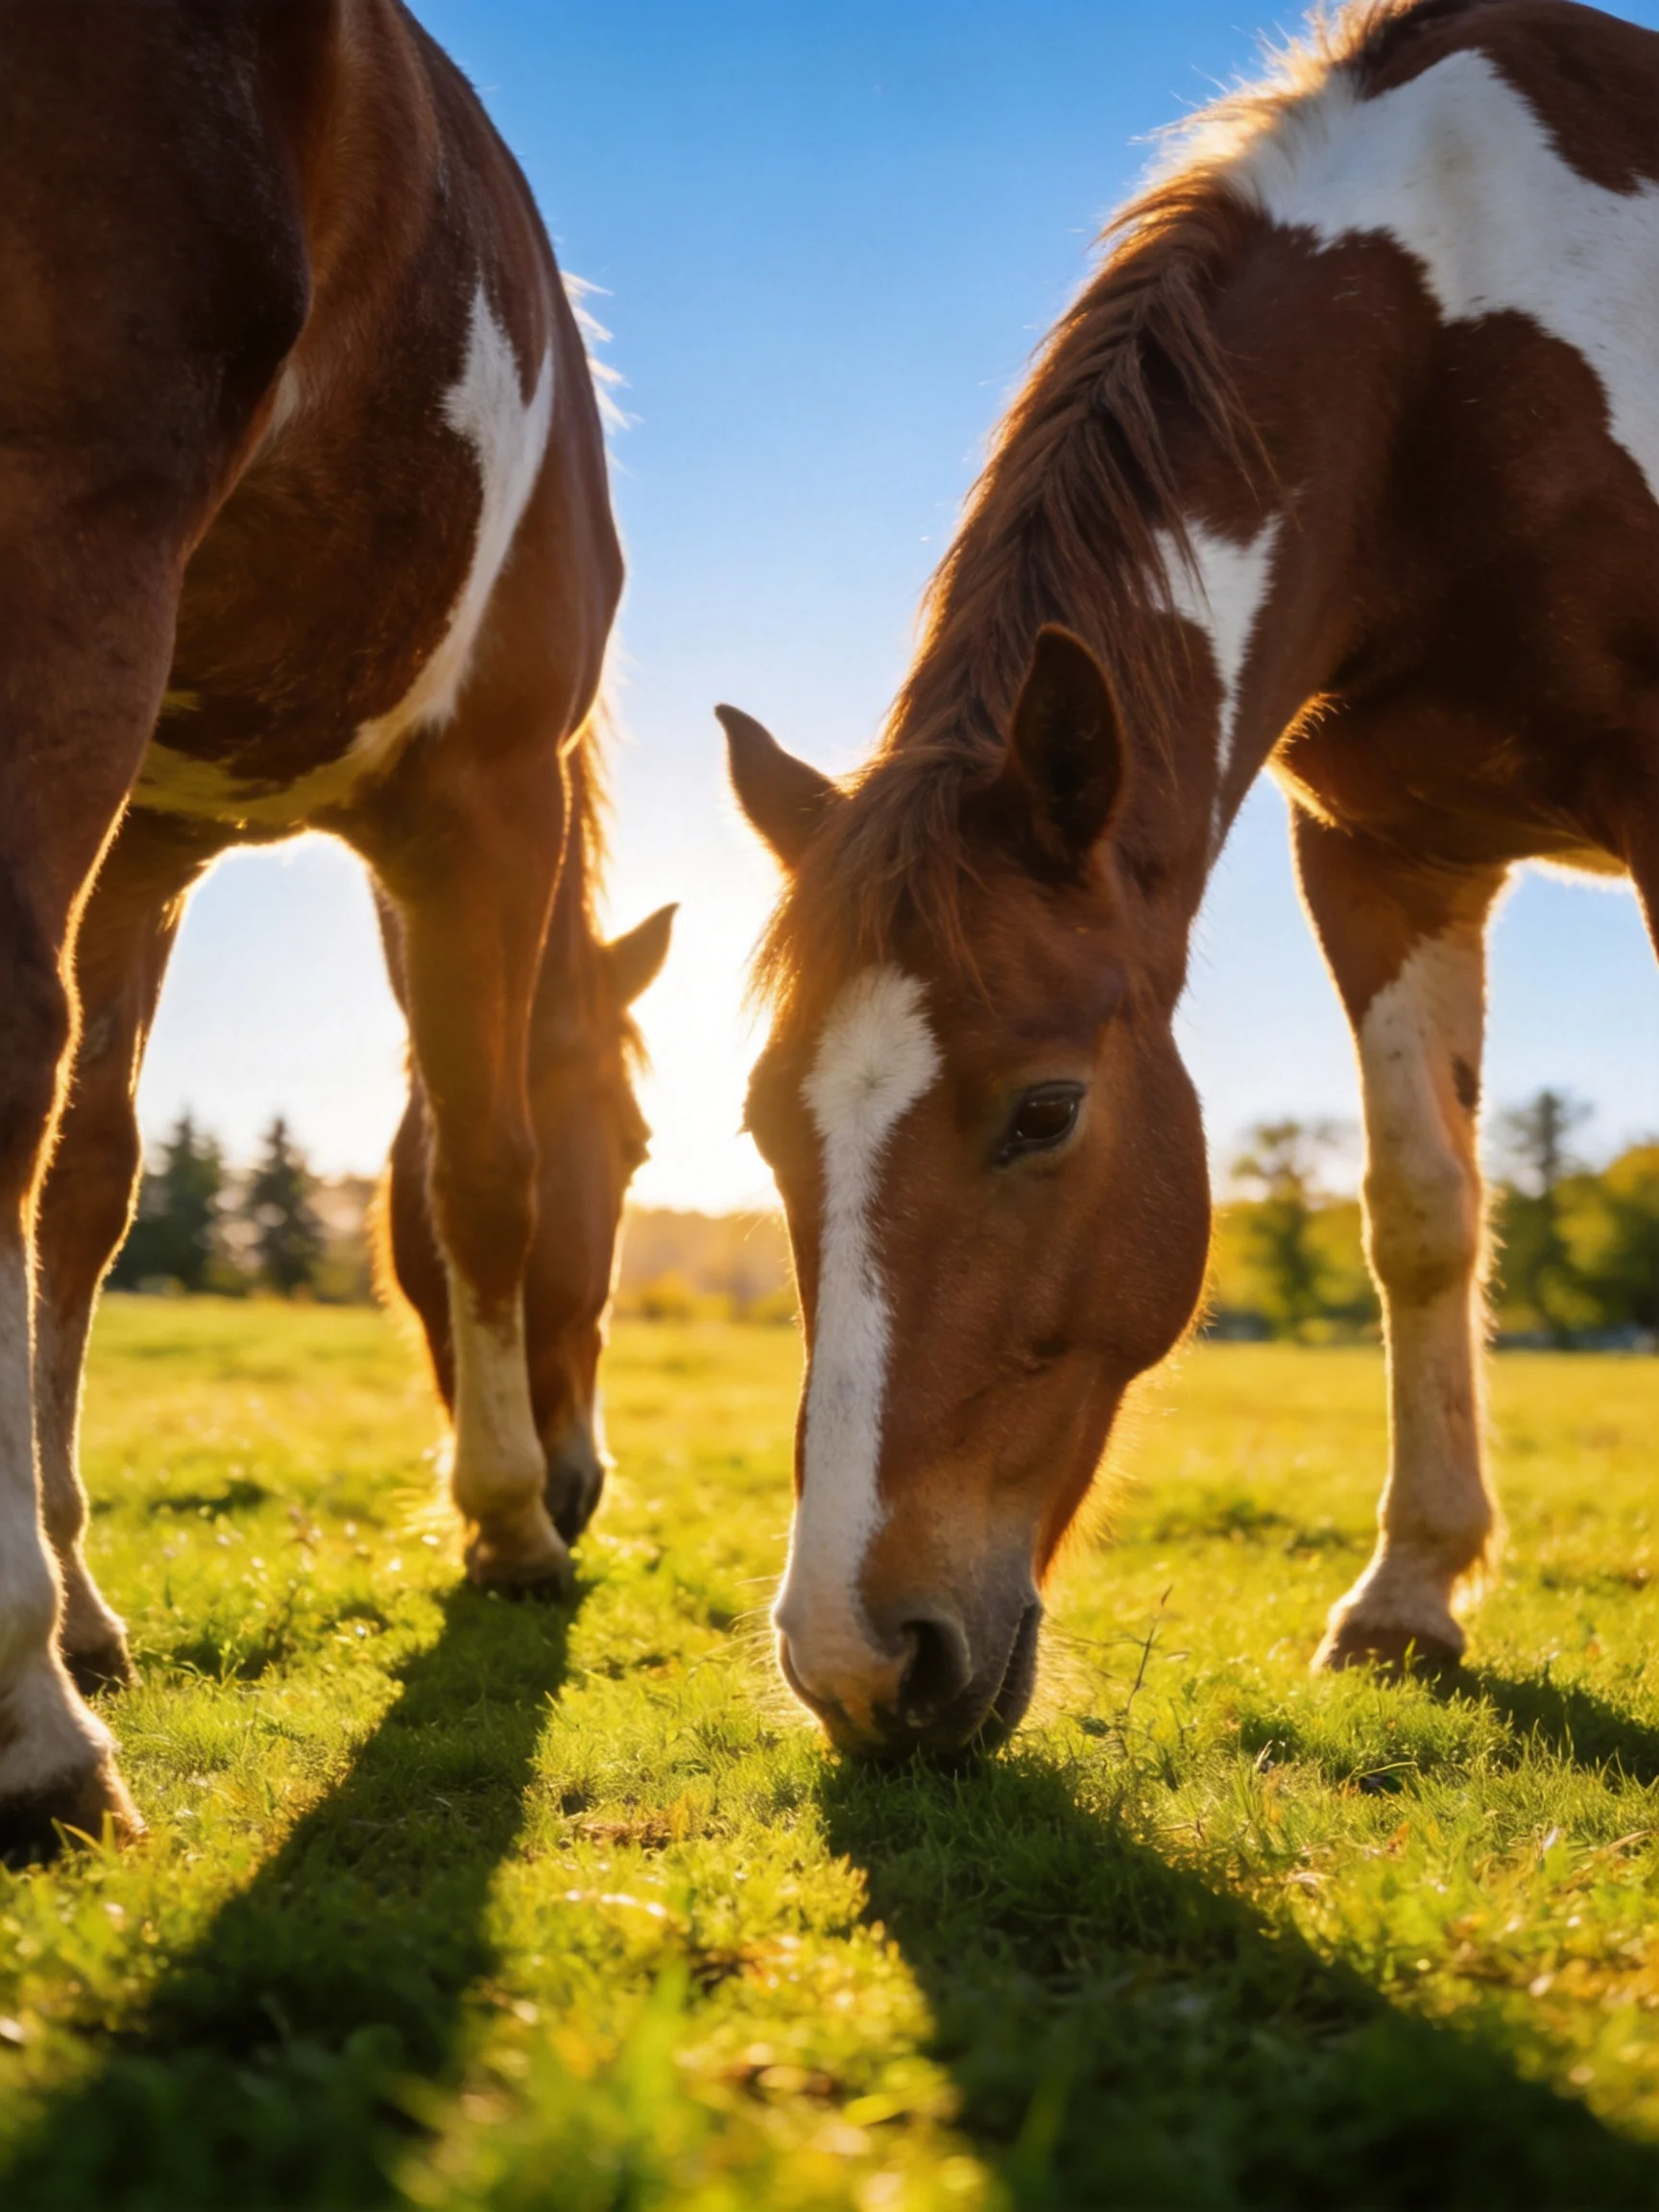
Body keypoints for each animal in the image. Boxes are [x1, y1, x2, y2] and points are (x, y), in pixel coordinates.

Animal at [0, 0, 672, 1857]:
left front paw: (87, 1599)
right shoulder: (485, 797)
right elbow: (487, 1165)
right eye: (640, 1149)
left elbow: (88, 1190)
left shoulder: (145, 854)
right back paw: (33, 1729)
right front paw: (507, 1522)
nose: (589, 1478)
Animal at [722, 0, 1659, 1758]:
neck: (1457, 350)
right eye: (761, 1129)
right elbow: (1419, 1210)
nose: (854, 1660)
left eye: (1044, 1112)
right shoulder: (1382, 854)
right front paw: (1408, 1593)